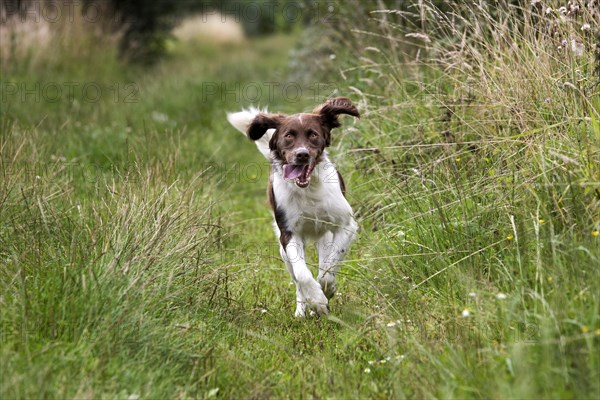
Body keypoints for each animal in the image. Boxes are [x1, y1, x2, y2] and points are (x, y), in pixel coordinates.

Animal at [227, 97, 358, 316]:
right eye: (289, 136)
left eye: (313, 134)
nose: (302, 155)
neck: (309, 189)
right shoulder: (288, 233)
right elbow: (302, 274)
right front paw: (317, 300)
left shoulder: (346, 225)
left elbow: (329, 268)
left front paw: (326, 290)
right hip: (283, 250)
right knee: (297, 280)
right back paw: (301, 311)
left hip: (325, 237)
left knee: (325, 260)